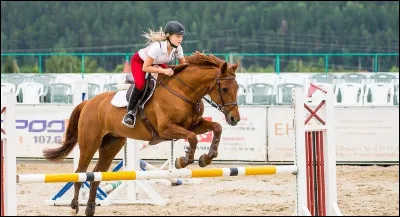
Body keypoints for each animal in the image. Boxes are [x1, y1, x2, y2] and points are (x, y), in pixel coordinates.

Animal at [42, 51, 241, 216]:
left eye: (237, 88)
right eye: (224, 89)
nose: (234, 119)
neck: (182, 91)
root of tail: (88, 102)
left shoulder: (194, 125)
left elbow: (216, 127)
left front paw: (207, 158)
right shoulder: (166, 129)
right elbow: (192, 138)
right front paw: (183, 161)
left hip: (111, 145)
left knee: (96, 175)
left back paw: (90, 208)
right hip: (89, 143)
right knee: (80, 173)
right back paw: (74, 206)